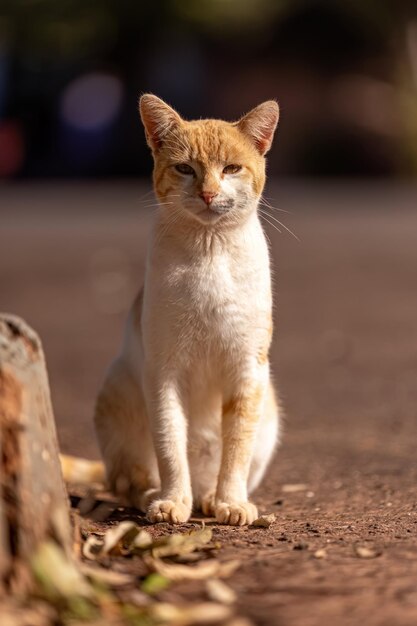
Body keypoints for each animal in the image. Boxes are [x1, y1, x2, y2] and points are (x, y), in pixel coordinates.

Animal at [92, 94, 280, 520]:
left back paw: (209, 497)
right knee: (128, 478)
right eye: (185, 169)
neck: (210, 253)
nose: (208, 193)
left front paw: (230, 502)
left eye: (231, 168)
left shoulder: (248, 369)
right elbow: (170, 443)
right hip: (116, 390)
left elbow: (236, 447)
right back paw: (155, 495)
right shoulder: (164, 371)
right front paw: (172, 500)